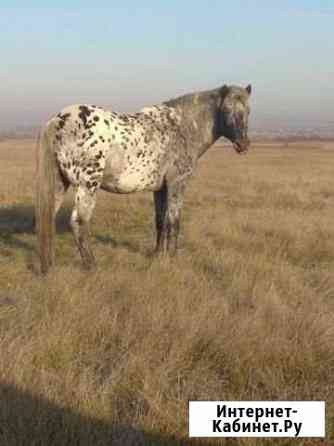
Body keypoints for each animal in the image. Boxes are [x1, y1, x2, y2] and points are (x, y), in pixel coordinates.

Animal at [35, 82, 252, 274]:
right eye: (226, 109)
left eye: (248, 111)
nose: (243, 144)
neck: (183, 126)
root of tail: (58, 121)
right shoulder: (177, 183)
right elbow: (174, 221)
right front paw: (173, 258)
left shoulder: (160, 188)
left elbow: (160, 221)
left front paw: (158, 255)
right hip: (87, 185)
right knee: (79, 222)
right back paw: (92, 266)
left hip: (59, 184)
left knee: (49, 219)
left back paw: (50, 266)